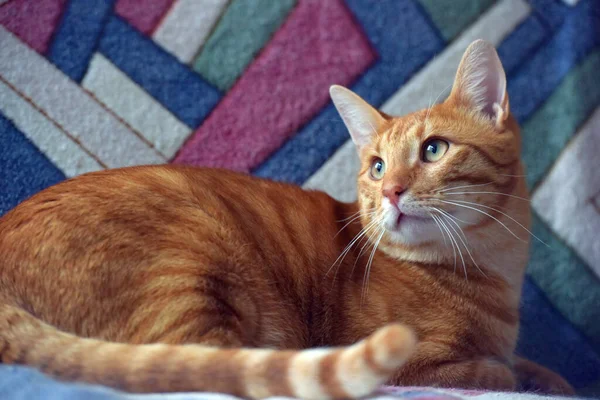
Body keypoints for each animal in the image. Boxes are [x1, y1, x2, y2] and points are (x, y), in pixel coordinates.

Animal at [0, 41, 572, 400]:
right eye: (377, 166)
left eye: (433, 149)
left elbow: (531, 365)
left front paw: (553, 377)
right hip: (190, 264)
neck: (488, 270)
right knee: (207, 369)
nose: (390, 190)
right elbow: (493, 370)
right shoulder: (424, 363)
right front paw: (517, 374)